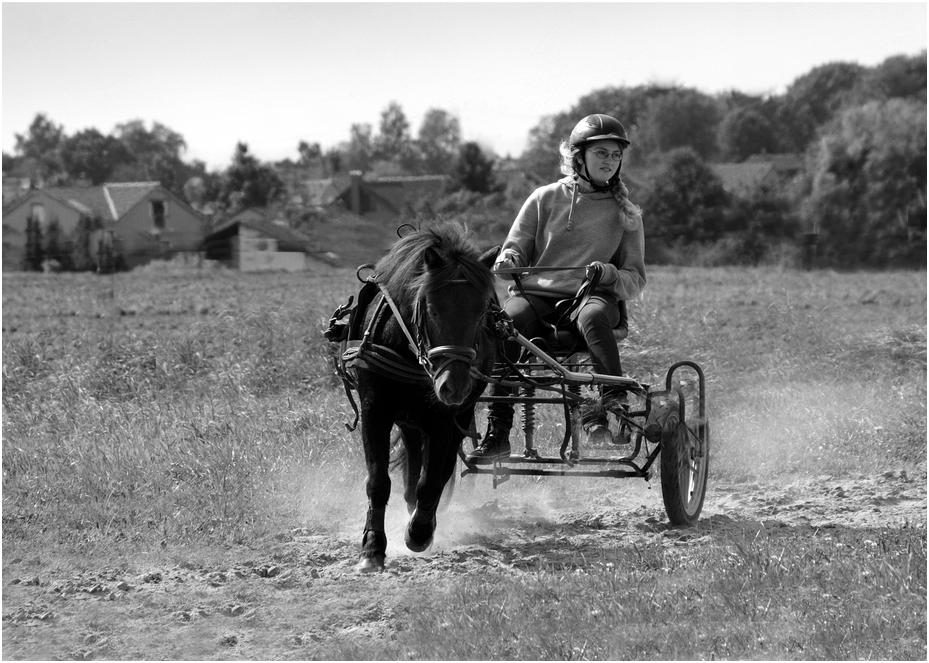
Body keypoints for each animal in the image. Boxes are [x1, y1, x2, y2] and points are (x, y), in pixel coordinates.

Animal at [340, 227, 496, 572]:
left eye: (481, 311)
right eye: (432, 308)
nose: (454, 386)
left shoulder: (442, 419)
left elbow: (431, 480)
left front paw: (419, 532)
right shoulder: (375, 411)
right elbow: (378, 481)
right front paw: (372, 547)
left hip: (459, 415)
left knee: (441, 468)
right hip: (411, 419)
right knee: (412, 460)